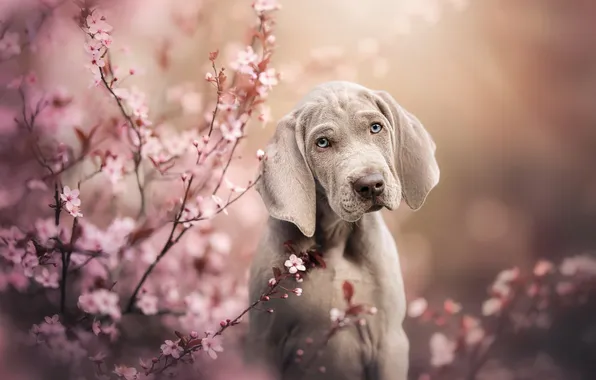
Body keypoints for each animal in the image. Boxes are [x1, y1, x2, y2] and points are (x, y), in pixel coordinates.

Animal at [244, 81, 440, 380]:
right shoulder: (263, 341)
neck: (336, 238)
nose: (371, 184)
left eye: (375, 128)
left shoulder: (389, 341)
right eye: (322, 143)